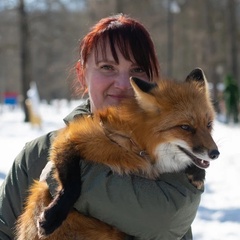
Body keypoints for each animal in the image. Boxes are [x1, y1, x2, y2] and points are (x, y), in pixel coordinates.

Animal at [15, 68, 219, 240]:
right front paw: (52, 217)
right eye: (185, 127)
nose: (215, 153)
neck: (134, 143)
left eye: (208, 124)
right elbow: (72, 185)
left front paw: (197, 173)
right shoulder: (70, 139)